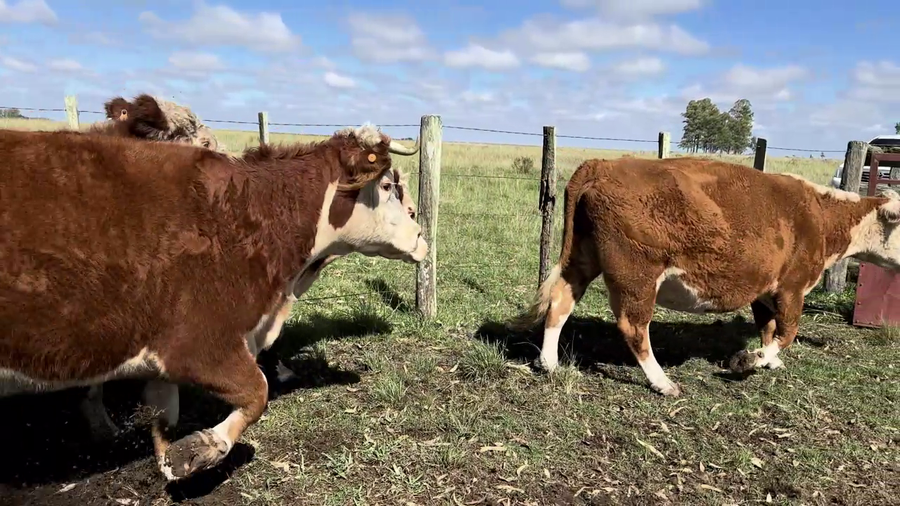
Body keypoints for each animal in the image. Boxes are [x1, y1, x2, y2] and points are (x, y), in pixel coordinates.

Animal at [0, 123, 426, 481]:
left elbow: (165, 418)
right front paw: (200, 450)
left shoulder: (162, 360)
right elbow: (257, 392)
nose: (422, 232)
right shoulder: (199, 344)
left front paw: (170, 462)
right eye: (388, 186)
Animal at [512, 156, 900, 397]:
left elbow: (769, 328)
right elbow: (787, 332)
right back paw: (662, 382)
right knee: (633, 326)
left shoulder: (764, 290)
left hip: (582, 258)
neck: (820, 215)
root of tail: (604, 164)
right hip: (637, 275)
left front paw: (769, 360)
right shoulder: (792, 287)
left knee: (560, 301)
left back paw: (550, 364)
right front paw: (750, 360)